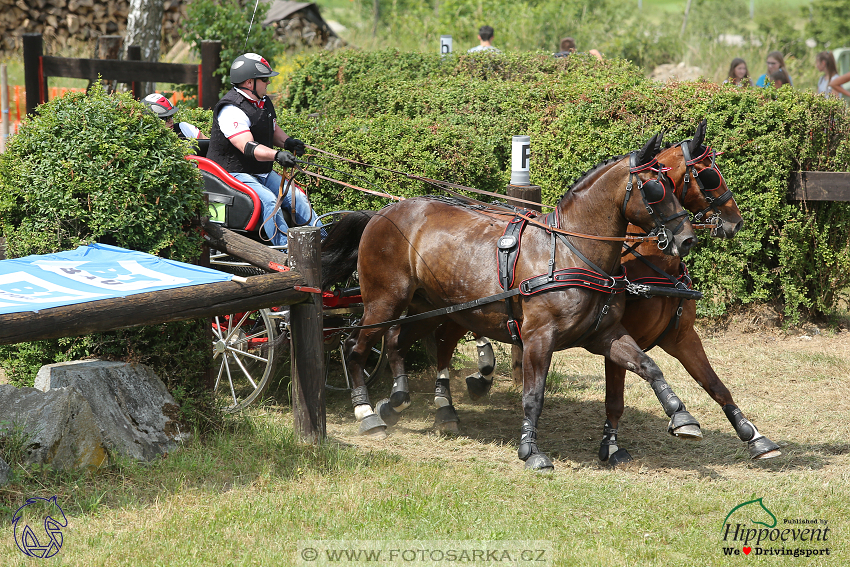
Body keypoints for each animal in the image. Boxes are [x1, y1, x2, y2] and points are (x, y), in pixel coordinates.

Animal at [318, 131, 696, 472]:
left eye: (672, 182)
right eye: (655, 188)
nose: (687, 239)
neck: (569, 252)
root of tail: (381, 212)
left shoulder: (606, 334)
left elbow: (648, 366)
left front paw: (681, 416)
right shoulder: (538, 338)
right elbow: (533, 396)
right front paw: (531, 451)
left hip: (426, 308)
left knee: (397, 342)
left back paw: (397, 401)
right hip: (384, 301)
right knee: (356, 347)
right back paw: (367, 413)